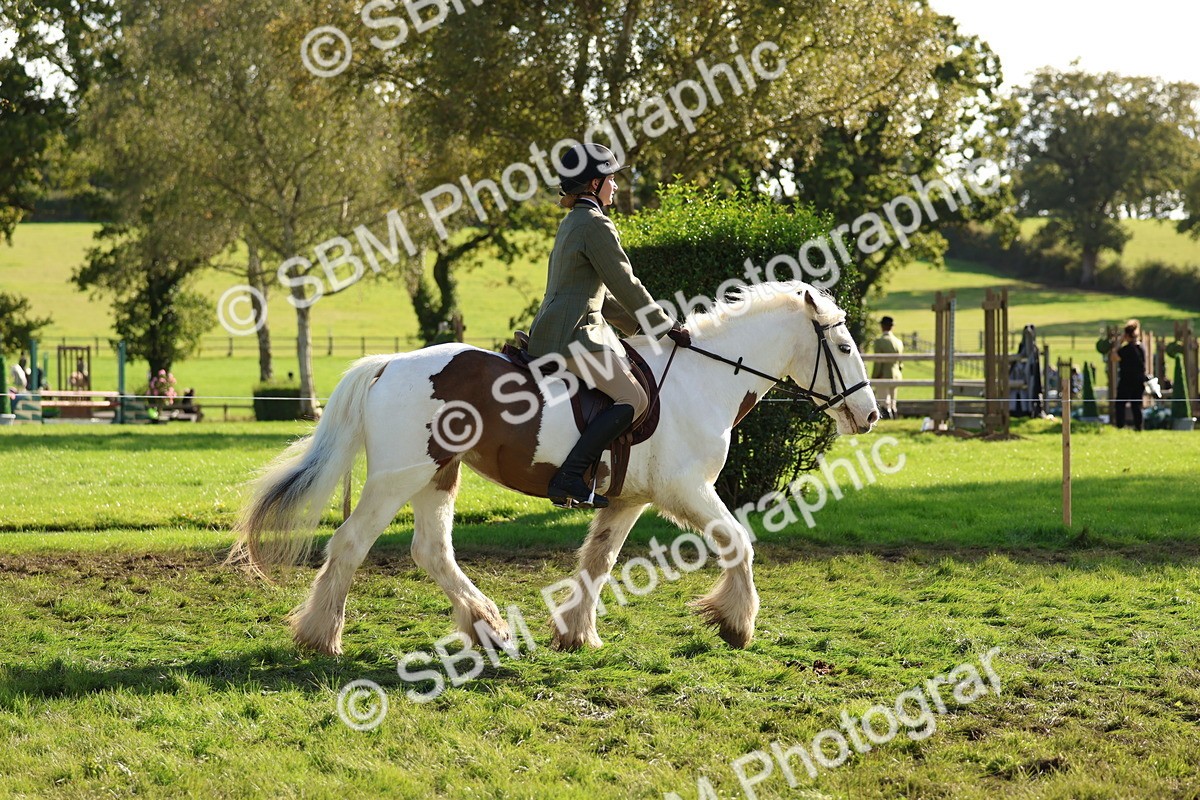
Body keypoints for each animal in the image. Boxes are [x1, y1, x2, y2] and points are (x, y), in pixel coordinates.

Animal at [229, 281, 879, 656]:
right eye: (845, 347)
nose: (871, 414)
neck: (705, 377)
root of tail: (388, 364)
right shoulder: (688, 489)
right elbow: (738, 542)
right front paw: (736, 624)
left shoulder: (628, 499)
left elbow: (599, 562)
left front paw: (576, 633)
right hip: (399, 477)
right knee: (350, 543)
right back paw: (322, 636)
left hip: (439, 476)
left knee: (431, 551)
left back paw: (487, 627)